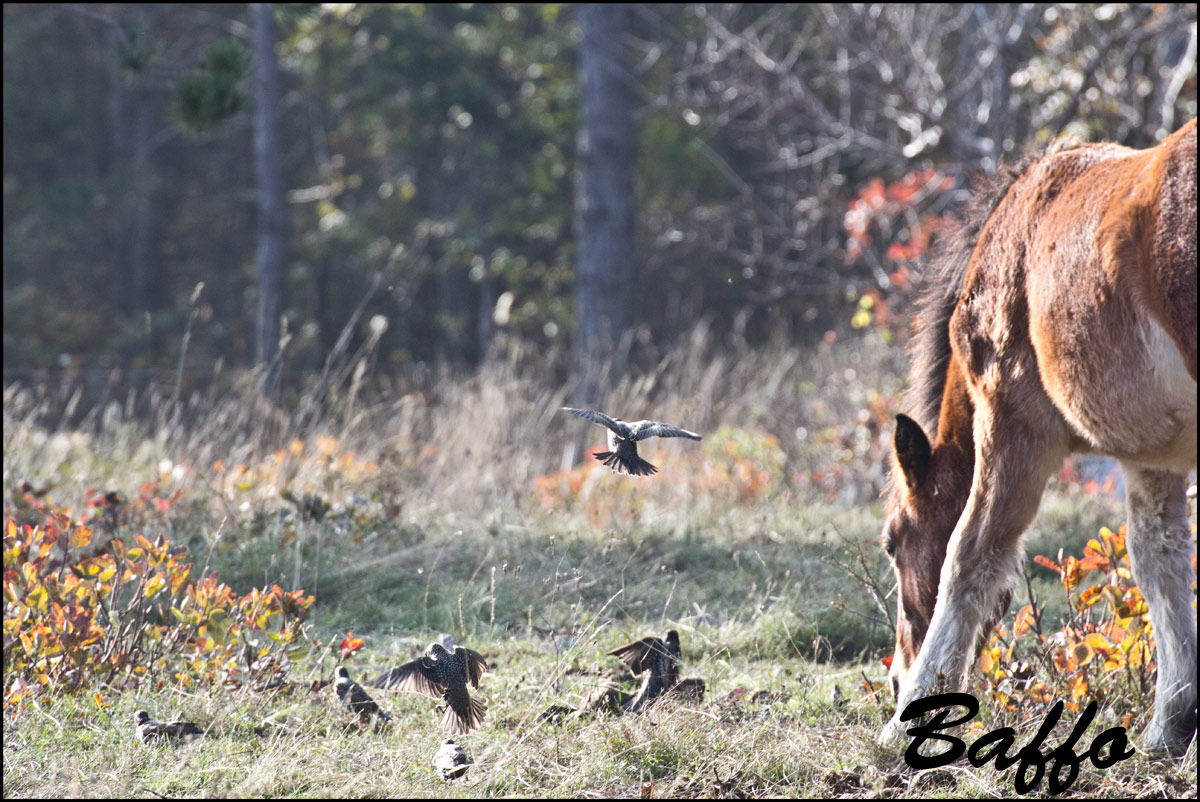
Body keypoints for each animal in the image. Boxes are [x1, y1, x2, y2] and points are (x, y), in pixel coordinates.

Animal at [878, 118, 1195, 753]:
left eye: (893, 543)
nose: (897, 675)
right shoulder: (1152, 454)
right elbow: (1160, 562)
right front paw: (1169, 727)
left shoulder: (1011, 429)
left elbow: (968, 556)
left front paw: (903, 727)